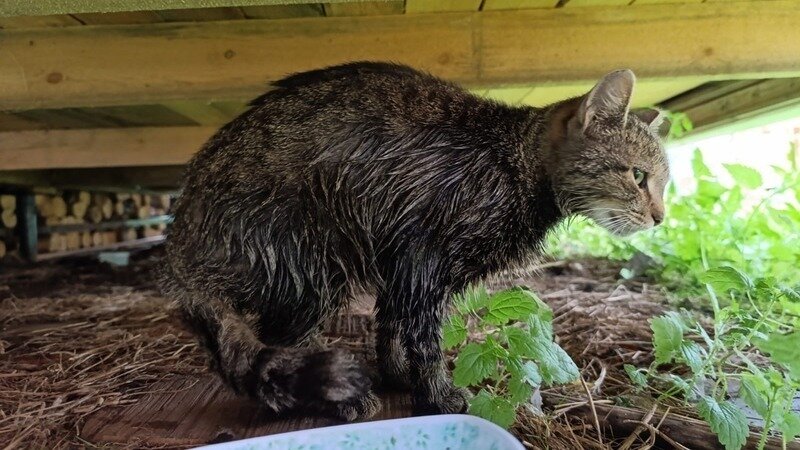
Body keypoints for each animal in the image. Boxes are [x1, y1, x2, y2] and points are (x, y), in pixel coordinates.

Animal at [161, 62, 669, 421]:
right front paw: (437, 395)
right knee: (283, 340)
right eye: (638, 176)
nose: (661, 217)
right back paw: (335, 400)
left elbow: (391, 325)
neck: (516, 165)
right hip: (317, 256)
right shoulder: (423, 255)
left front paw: (396, 376)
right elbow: (425, 338)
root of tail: (182, 243)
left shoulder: (401, 260)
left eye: (664, 184)